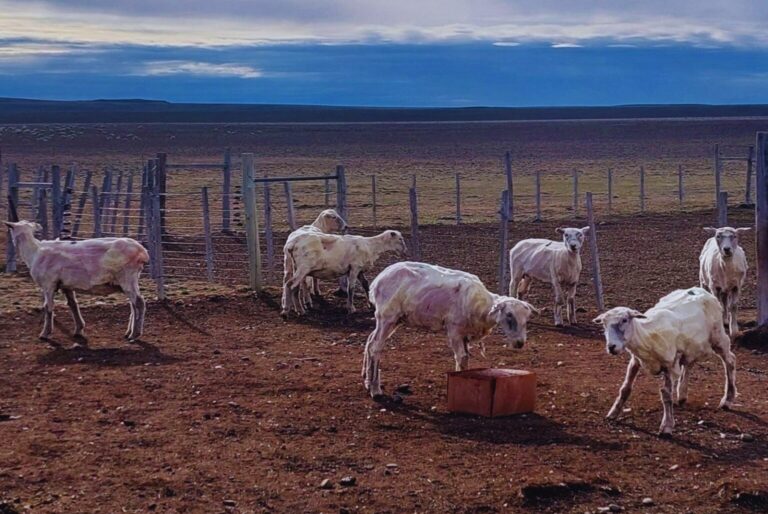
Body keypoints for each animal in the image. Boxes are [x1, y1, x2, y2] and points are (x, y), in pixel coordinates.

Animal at [4, 219, 150, 340]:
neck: (33, 252)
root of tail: (142, 252)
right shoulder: (66, 286)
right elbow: (73, 305)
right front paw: (79, 330)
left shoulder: (48, 284)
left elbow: (48, 307)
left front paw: (45, 333)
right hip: (126, 280)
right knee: (133, 304)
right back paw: (129, 332)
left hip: (127, 277)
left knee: (139, 303)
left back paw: (135, 334)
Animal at [362, 260, 536, 396]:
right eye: (509, 315)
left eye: (527, 318)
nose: (520, 343)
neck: (482, 308)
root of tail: (378, 280)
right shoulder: (455, 330)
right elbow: (462, 357)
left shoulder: (465, 334)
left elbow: (466, 358)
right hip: (387, 317)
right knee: (376, 347)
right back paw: (375, 389)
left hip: (393, 320)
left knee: (370, 341)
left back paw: (366, 380)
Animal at [592, 286, 736, 434]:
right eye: (604, 324)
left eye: (624, 320)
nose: (611, 347)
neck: (647, 337)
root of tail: (700, 289)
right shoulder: (635, 361)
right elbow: (625, 388)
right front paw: (613, 413)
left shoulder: (669, 365)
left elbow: (666, 394)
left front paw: (666, 426)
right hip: (690, 346)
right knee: (689, 364)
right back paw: (682, 395)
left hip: (718, 337)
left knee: (730, 361)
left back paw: (727, 400)